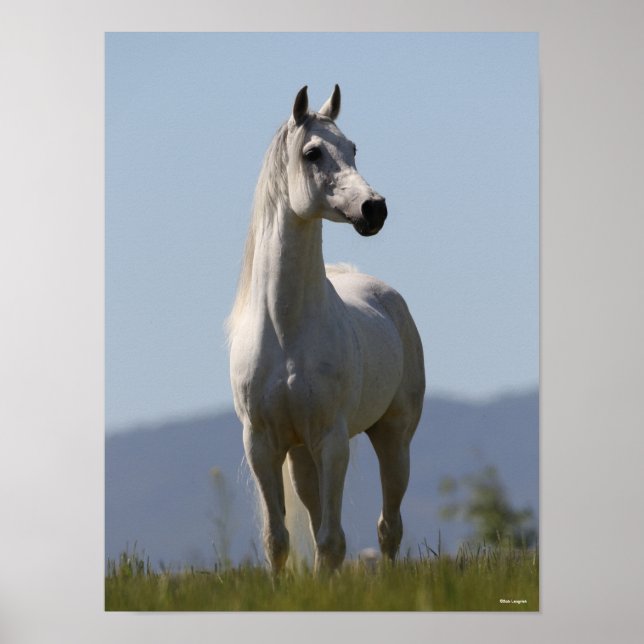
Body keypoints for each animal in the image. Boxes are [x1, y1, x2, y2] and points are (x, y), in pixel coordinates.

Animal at [227, 85, 425, 572]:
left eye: (353, 148)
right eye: (312, 152)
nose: (374, 208)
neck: (285, 329)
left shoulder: (332, 441)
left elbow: (333, 541)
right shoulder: (261, 444)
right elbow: (278, 539)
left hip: (394, 438)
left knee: (389, 527)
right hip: (301, 456)